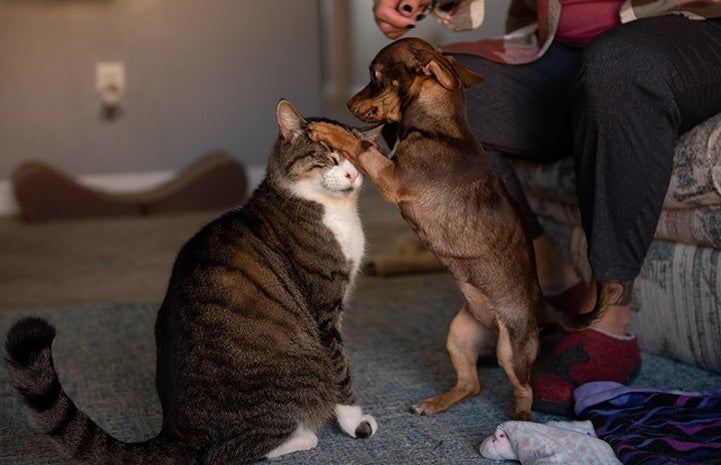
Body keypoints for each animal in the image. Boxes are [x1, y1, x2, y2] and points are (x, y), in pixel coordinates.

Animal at [5, 99, 382, 464]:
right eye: (328, 154)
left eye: (358, 158)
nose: (351, 173)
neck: (332, 211)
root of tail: (178, 429)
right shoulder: (325, 310)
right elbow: (341, 371)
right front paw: (356, 423)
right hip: (302, 369)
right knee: (226, 452)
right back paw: (304, 436)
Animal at [306, 37, 600, 420]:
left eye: (375, 74)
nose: (346, 103)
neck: (439, 128)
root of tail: (542, 308)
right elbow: (372, 141)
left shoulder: (390, 177)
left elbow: (362, 145)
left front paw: (329, 129)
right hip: (459, 335)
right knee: (470, 385)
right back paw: (436, 402)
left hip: (512, 348)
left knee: (525, 388)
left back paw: (520, 418)